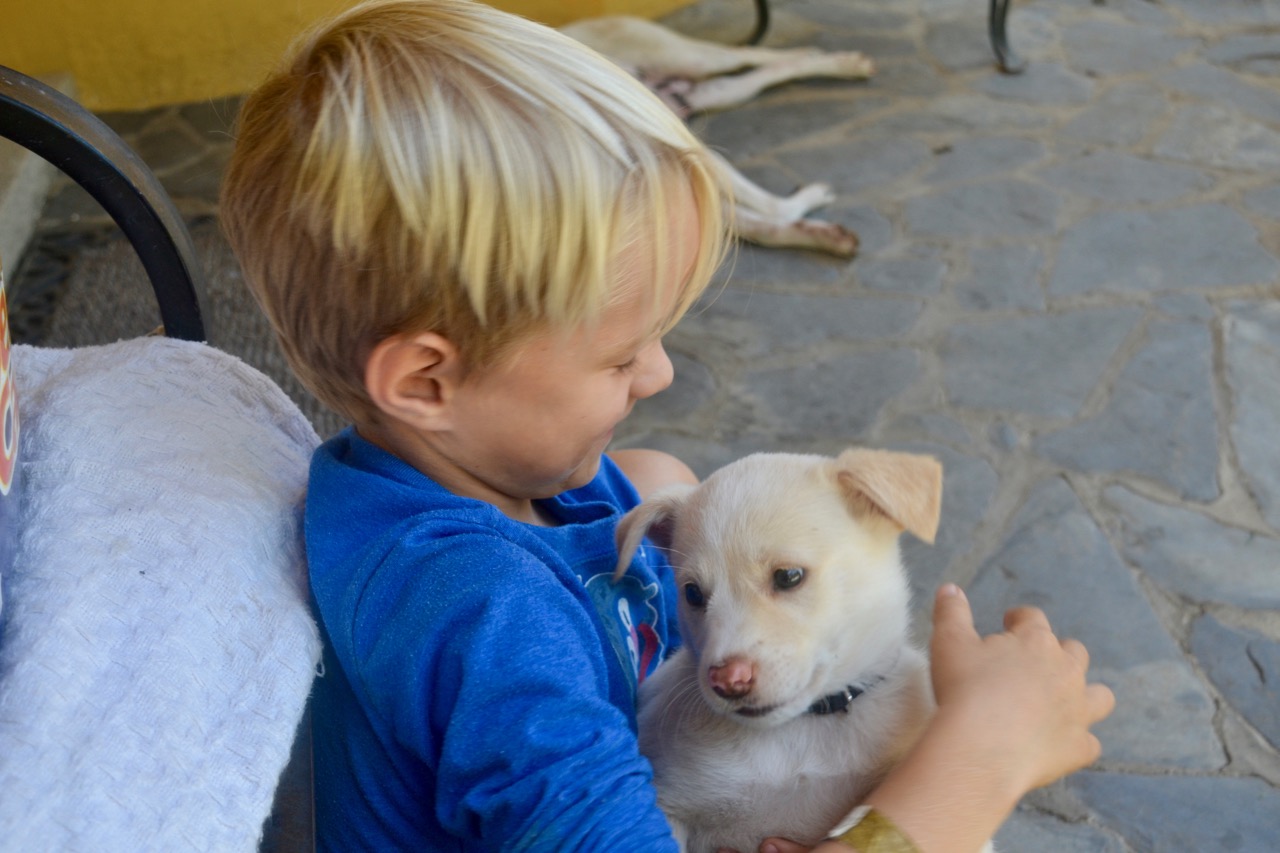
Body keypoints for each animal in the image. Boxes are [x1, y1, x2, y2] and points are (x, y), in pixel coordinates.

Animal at [562, 16, 872, 257]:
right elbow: (763, 227)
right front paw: (825, 236)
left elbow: (774, 209)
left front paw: (813, 201)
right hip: (707, 93)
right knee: (759, 75)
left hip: (690, 58)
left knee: (751, 53)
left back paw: (834, 60)